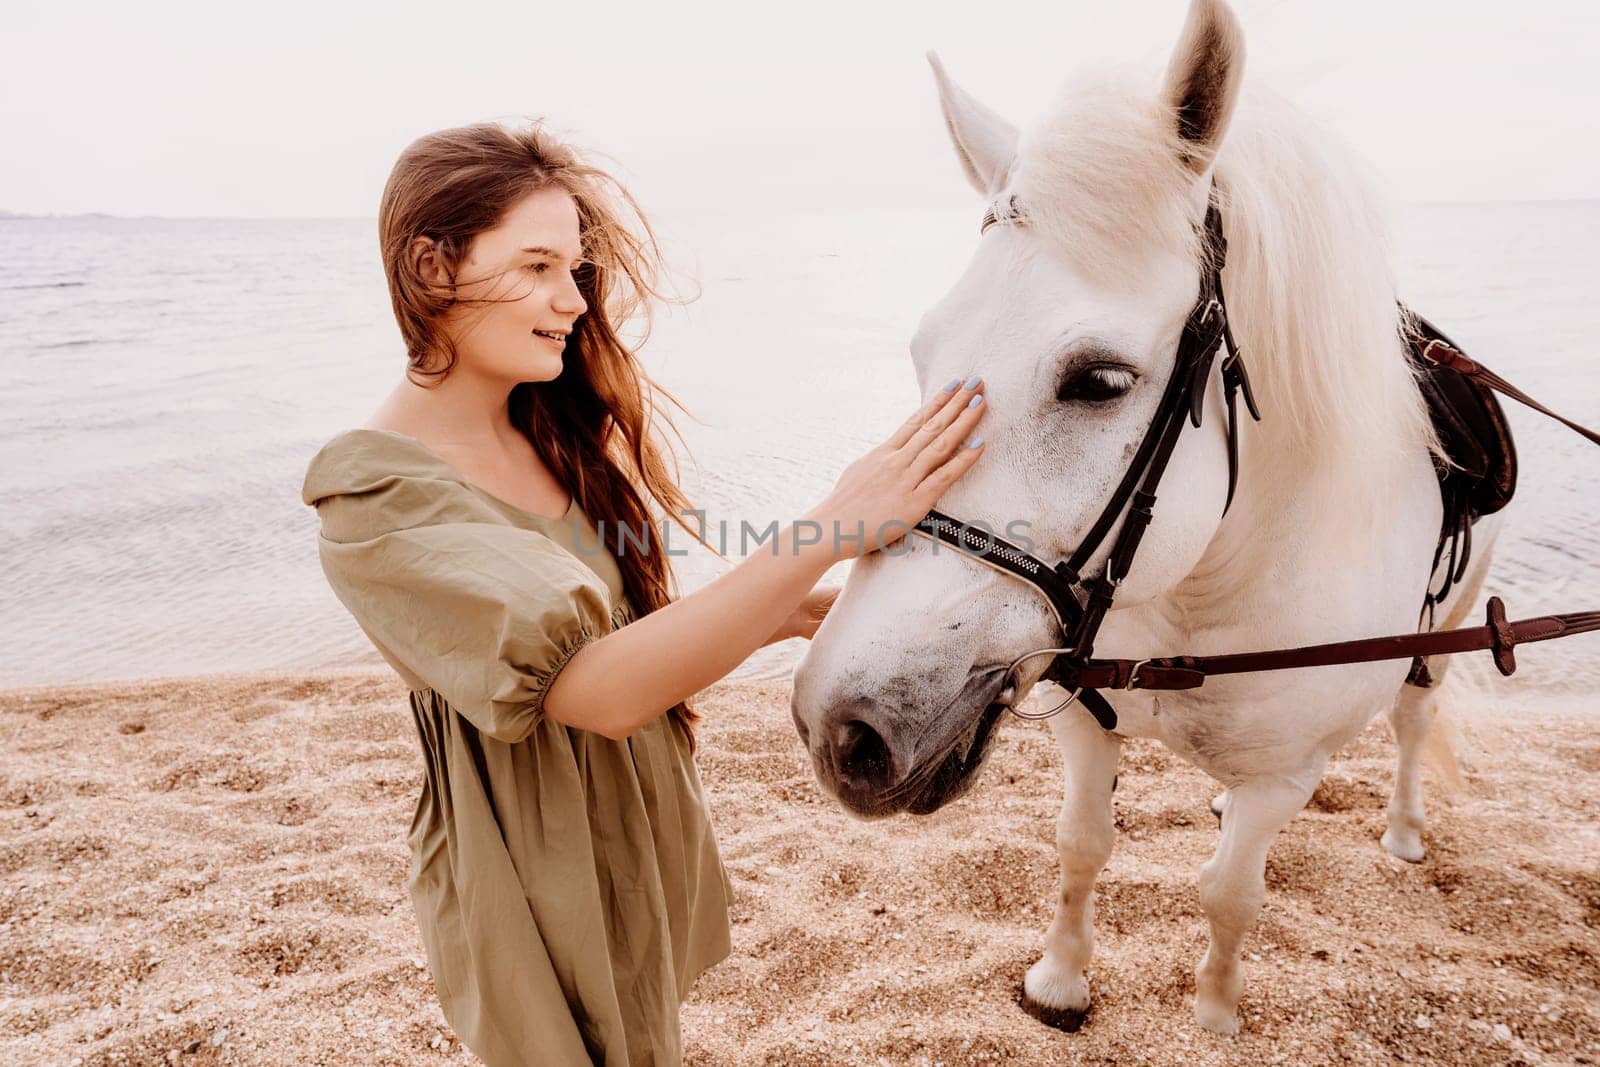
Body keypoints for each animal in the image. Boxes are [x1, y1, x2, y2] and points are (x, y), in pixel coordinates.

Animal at [790, 0, 1497, 1036]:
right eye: (923, 354)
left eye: (1100, 379)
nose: (840, 727)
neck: (1203, 598)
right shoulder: (1087, 724)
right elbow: (1081, 845)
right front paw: (1059, 980)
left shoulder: (1285, 775)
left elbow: (1230, 893)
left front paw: (1215, 1011)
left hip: (1452, 616)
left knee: (1415, 713)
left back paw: (1405, 829)